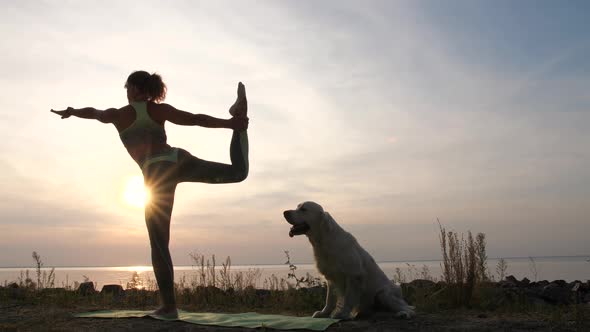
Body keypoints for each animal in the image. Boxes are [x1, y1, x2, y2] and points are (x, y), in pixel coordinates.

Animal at [284, 201, 416, 320]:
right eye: (297, 207)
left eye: (304, 209)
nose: (284, 212)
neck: (324, 241)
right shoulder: (331, 278)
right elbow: (329, 300)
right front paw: (323, 313)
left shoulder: (353, 276)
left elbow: (348, 298)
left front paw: (342, 314)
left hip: (384, 294)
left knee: (408, 308)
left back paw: (404, 314)